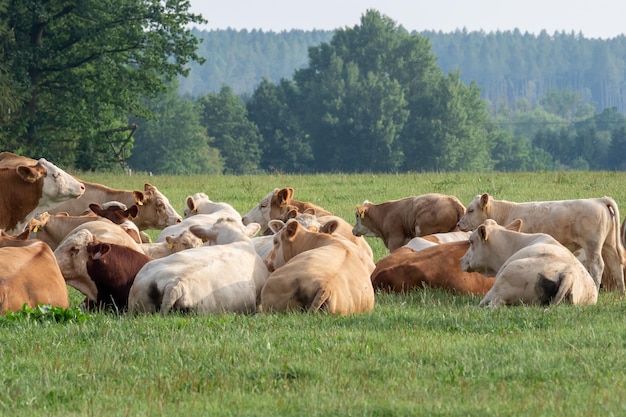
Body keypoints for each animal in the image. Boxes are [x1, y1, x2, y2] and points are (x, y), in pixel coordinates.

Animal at [454, 193, 624, 290]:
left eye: (471, 210)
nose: (459, 224)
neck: (505, 213)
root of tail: (599, 200)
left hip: (592, 245)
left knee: (597, 266)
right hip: (608, 245)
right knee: (616, 266)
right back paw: (621, 292)